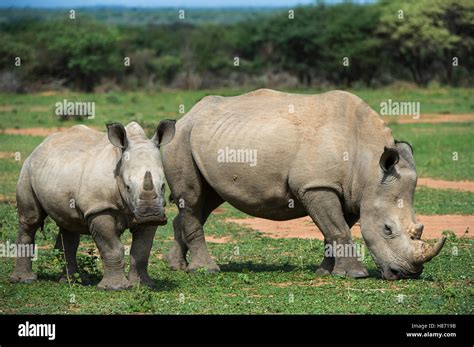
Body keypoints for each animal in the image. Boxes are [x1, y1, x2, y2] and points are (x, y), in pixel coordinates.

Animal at [10, 121, 176, 290]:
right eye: (128, 187)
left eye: (163, 185)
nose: (151, 215)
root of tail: (40, 146)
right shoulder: (99, 208)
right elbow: (112, 248)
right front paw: (115, 288)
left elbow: (142, 249)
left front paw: (144, 285)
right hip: (27, 169)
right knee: (31, 219)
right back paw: (24, 280)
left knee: (69, 225)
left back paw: (73, 281)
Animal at [161, 89, 446, 280]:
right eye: (387, 229)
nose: (407, 273)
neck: (369, 168)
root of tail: (187, 116)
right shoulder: (317, 185)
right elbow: (338, 228)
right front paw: (355, 275)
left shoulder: (351, 192)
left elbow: (335, 230)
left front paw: (325, 272)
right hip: (181, 140)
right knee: (193, 199)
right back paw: (206, 270)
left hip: (205, 140)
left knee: (205, 201)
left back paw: (176, 266)